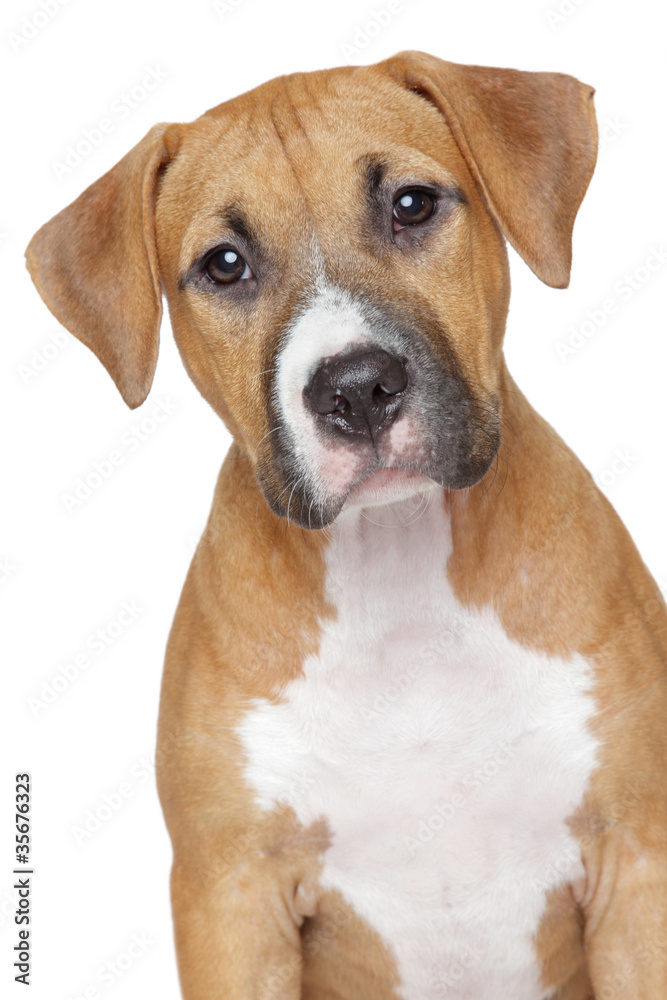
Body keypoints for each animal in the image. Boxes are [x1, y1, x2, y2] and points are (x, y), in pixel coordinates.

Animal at [24, 52, 667, 1000]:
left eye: (411, 204)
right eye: (223, 264)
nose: (357, 389)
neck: (396, 569)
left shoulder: (635, 862)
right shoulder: (231, 898)